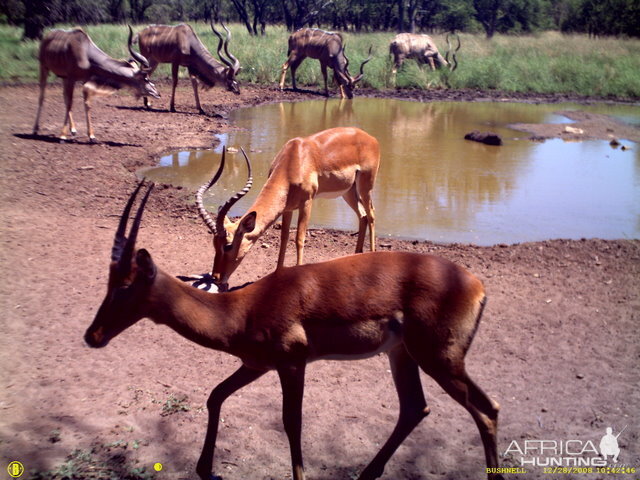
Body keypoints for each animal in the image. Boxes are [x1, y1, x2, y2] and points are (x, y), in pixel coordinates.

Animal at [32, 27, 160, 142]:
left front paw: (91, 136)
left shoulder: (83, 80)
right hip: (44, 67)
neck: (86, 53)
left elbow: (87, 104)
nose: (157, 94)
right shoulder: (71, 78)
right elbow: (70, 103)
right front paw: (62, 136)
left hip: (63, 78)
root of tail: (47, 37)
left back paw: (73, 130)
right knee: (42, 96)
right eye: (146, 79)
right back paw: (35, 129)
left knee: (64, 97)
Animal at [85, 179, 502, 480]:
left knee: (487, 411)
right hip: (404, 355)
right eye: (108, 281)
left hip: (440, 359)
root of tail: (477, 285)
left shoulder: (292, 364)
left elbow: (292, 422)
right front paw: (207, 470)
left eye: (125, 285)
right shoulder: (255, 364)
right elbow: (216, 396)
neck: (243, 307)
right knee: (416, 408)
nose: (93, 335)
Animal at [198, 127, 378, 290]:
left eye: (228, 245)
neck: (294, 160)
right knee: (362, 216)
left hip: (365, 186)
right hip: (348, 191)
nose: (216, 277)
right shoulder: (287, 208)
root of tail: (370, 137)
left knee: (371, 215)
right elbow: (284, 238)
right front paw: (277, 274)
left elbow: (299, 238)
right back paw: (357, 253)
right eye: (214, 243)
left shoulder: (307, 202)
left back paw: (373, 254)